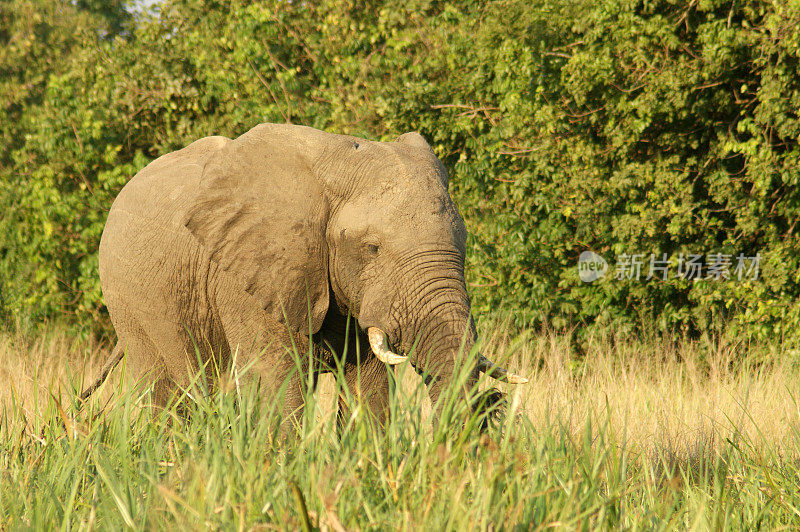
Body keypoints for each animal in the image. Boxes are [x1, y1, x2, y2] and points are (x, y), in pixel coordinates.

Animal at [84, 122, 528, 426]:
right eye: (372, 248)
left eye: (463, 244)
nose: (495, 407)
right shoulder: (254, 273)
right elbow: (278, 380)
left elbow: (370, 386)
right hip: (128, 299)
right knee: (168, 389)